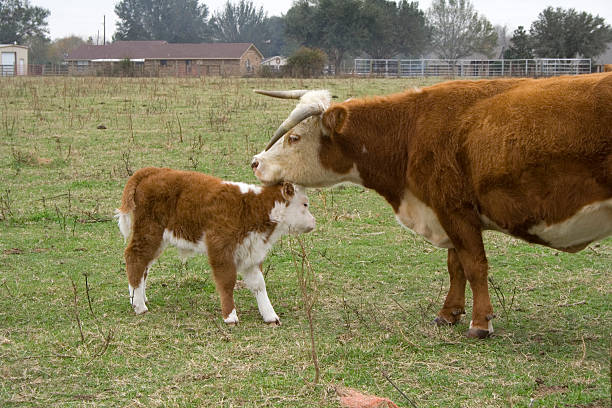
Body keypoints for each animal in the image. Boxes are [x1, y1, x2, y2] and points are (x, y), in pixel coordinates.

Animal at [115, 167, 316, 326]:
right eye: (305, 204)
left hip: (157, 239)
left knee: (144, 265)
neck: (251, 208)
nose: (314, 221)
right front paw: (230, 317)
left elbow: (259, 284)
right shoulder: (220, 249)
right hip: (149, 231)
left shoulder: (251, 252)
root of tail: (153, 170)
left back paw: (137, 297)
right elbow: (227, 281)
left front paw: (270, 316)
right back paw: (139, 306)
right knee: (134, 257)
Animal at [251, 72, 612, 338]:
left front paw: (480, 323)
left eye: (294, 137)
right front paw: (449, 313)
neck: (411, 130)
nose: (256, 162)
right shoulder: (444, 213)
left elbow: (475, 266)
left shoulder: (456, 211)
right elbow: (456, 266)